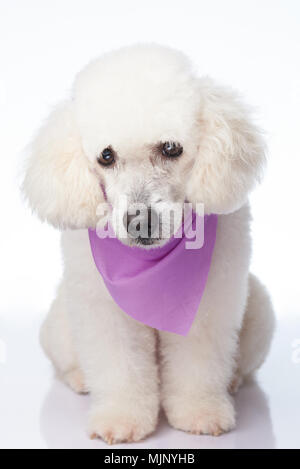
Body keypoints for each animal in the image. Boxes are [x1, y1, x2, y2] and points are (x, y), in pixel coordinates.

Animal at [23, 44, 276, 442]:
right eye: (106, 156)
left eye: (171, 148)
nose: (140, 221)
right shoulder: (105, 310)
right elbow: (119, 367)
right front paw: (120, 418)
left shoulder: (209, 305)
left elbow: (198, 363)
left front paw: (201, 411)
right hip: (60, 322)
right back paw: (80, 379)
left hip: (260, 308)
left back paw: (233, 380)